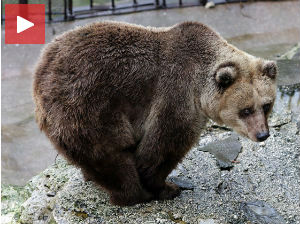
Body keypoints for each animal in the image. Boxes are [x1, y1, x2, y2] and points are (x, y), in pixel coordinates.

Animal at [32, 21, 276, 206]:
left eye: (266, 105)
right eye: (245, 110)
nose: (262, 134)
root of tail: (41, 72)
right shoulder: (176, 93)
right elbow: (162, 145)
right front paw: (166, 187)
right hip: (88, 107)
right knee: (111, 153)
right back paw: (134, 194)